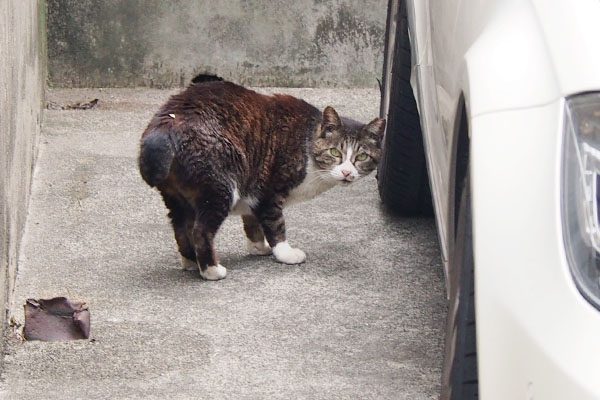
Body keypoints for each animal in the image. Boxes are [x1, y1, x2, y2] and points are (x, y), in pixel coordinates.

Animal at [139, 76, 384, 282]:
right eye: (335, 152)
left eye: (362, 157)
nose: (347, 173)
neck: (308, 143)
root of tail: (166, 122)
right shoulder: (270, 190)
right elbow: (276, 224)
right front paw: (285, 253)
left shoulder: (253, 189)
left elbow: (253, 223)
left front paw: (259, 248)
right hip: (220, 188)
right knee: (200, 230)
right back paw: (212, 271)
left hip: (176, 197)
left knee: (182, 228)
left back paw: (191, 262)